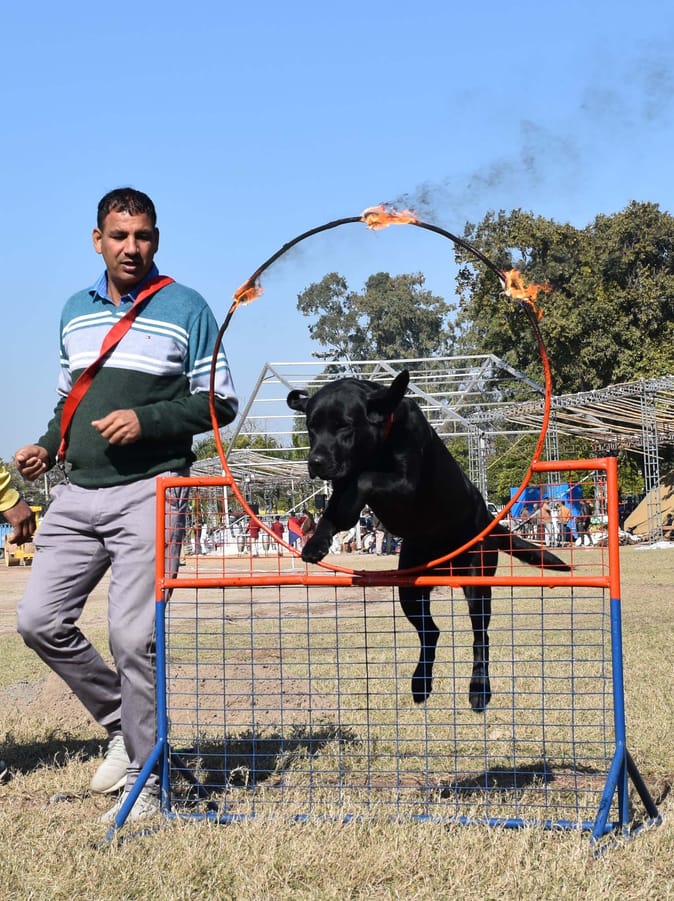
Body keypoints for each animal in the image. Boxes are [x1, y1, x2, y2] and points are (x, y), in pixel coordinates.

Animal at [287, 369, 570, 712]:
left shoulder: (405, 483)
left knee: (480, 638)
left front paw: (352, 503)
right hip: (409, 589)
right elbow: (332, 511)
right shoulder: (342, 484)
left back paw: (479, 690)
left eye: (344, 425)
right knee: (431, 633)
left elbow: (365, 478)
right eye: (311, 427)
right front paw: (315, 543)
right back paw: (420, 684)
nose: (315, 461)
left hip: (476, 583)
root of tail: (488, 521)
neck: (381, 442)